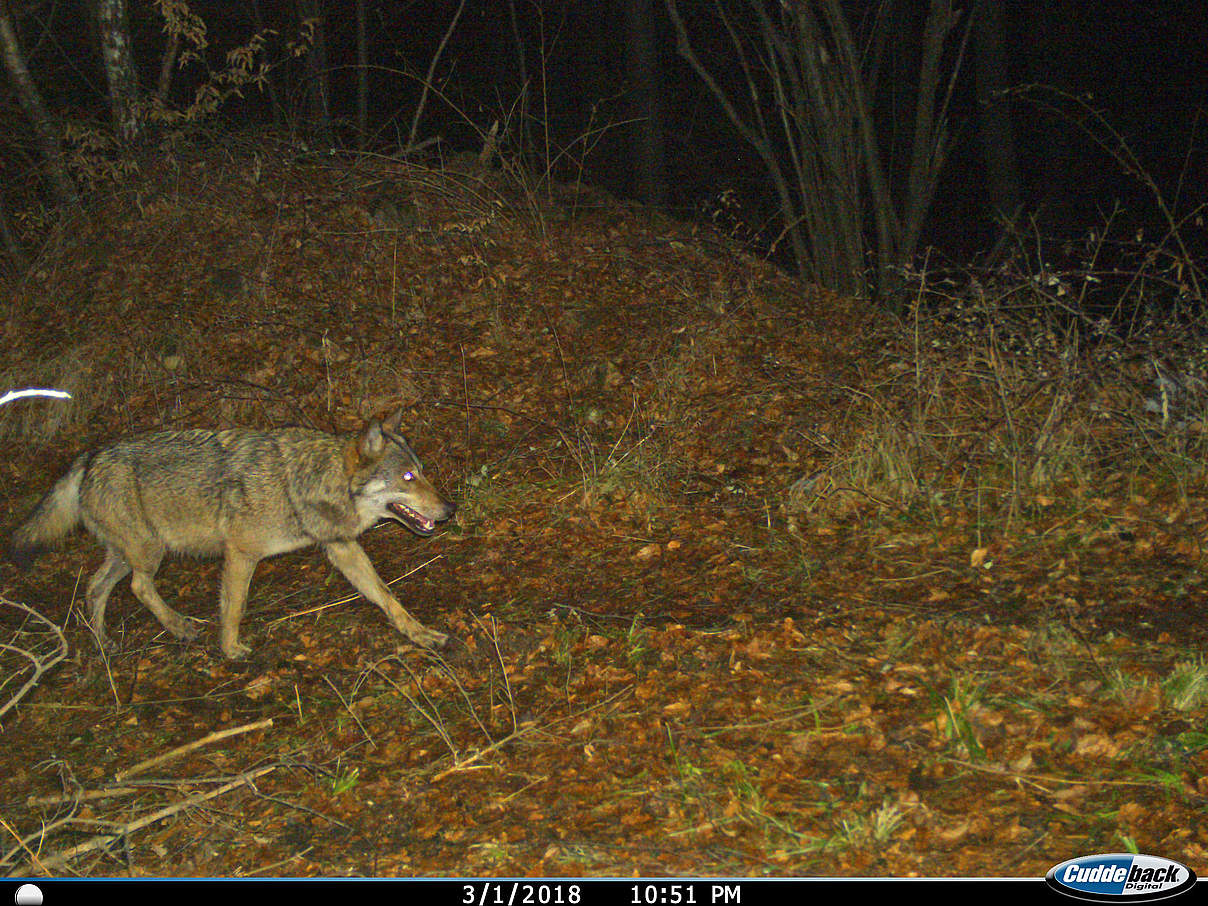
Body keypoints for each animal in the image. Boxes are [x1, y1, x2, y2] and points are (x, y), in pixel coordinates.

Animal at [8, 410, 454, 661]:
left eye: (422, 472)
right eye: (408, 478)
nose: (451, 509)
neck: (306, 482)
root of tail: (89, 456)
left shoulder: (341, 548)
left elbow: (387, 596)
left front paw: (419, 634)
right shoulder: (241, 552)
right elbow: (234, 607)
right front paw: (230, 650)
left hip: (126, 553)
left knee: (94, 589)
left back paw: (104, 645)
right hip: (150, 552)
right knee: (137, 587)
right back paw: (179, 628)